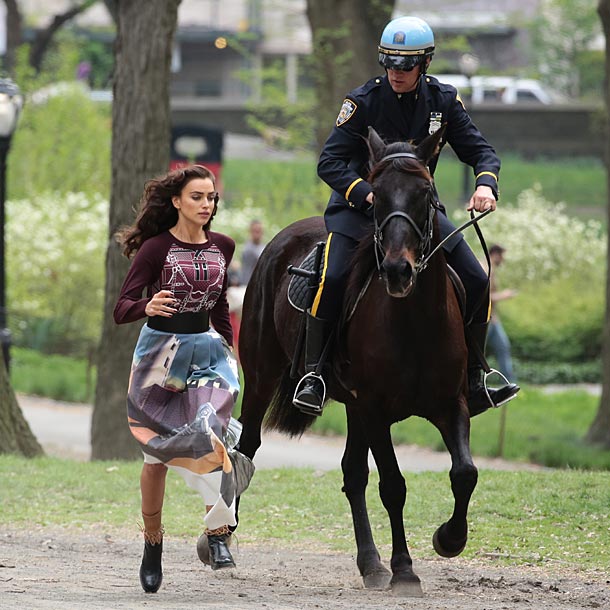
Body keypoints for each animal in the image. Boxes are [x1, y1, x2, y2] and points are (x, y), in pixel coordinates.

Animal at [235, 124, 478, 592]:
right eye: (376, 194)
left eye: (425, 192)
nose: (398, 270)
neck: (414, 322)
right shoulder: (376, 410)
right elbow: (394, 486)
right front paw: (405, 569)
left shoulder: (451, 404)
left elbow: (464, 472)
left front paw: (449, 539)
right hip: (261, 377)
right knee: (246, 448)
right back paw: (218, 538)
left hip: (351, 406)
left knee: (352, 474)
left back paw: (370, 563)